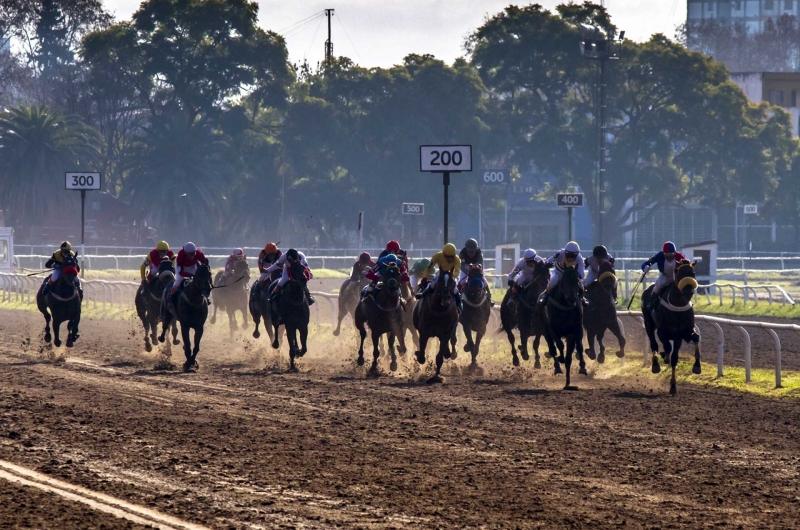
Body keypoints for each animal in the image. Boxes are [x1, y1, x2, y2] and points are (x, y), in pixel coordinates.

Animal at [640, 258, 696, 394]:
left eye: (693, 273)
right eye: (679, 273)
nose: (688, 292)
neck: (678, 305)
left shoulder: (682, 334)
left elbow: (675, 357)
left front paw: (674, 386)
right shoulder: (663, 331)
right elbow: (667, 348)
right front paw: (664, 357)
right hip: (649, 324)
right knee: (654, 344)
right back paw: (656, 365)